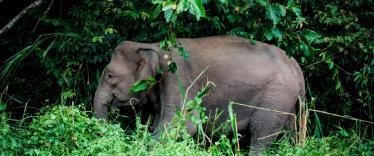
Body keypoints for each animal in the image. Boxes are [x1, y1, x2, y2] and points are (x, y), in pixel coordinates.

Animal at [93, 35, 304, 154]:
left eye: (110, 75)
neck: (153, 46)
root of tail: (296, 68)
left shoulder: (179, 78)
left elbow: (182, 125)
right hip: (285, 101)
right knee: (288, 133)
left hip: (276, 97)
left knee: (261, 133)